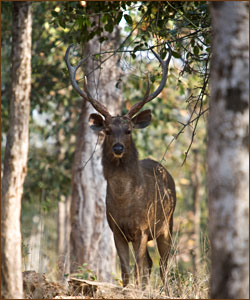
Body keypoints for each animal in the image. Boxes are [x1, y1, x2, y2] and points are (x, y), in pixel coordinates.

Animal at [65, 44, 177, 288]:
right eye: (107, 130)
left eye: (128, 130)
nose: (118, 148)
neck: (125, 203)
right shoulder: (116, 229)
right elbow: (126, 271)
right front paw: (129, 289)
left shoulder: (142, 228)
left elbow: (138, 269)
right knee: (151, 264)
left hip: (167, 223)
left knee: (164, 264)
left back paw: (166, 290)